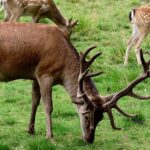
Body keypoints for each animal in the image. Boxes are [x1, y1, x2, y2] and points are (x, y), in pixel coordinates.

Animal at [0, 22, 149, 143]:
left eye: (100, 118)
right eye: (86, 116)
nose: (89, 139)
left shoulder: (36, 75)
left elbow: (34, 101)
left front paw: (30, 130)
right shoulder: (45, 73)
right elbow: (48, 106)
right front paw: (50, 136)